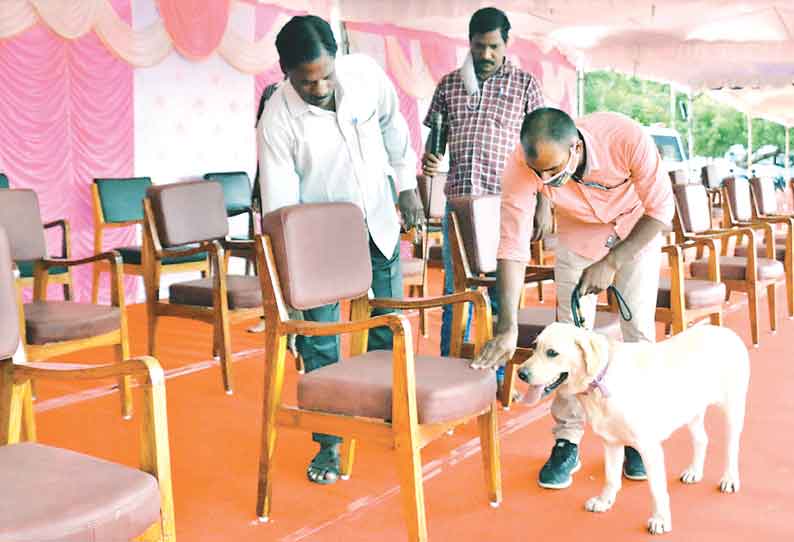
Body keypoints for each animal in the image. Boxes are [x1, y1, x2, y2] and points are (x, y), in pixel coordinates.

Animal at [520, 324, 748, 536]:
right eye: (534, 347)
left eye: (552, 353)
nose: (521, 373)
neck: (602, 382)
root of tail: (727, 331)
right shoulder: (611, 442)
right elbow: (611, 478)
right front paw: (604, 501)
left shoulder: (650, 448)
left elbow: (657, 490)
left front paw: (660, 520)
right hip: (691, 411)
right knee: (702, 440)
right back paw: (694, 472)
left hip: (732, 410)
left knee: (731, 448)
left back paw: (729, 479)